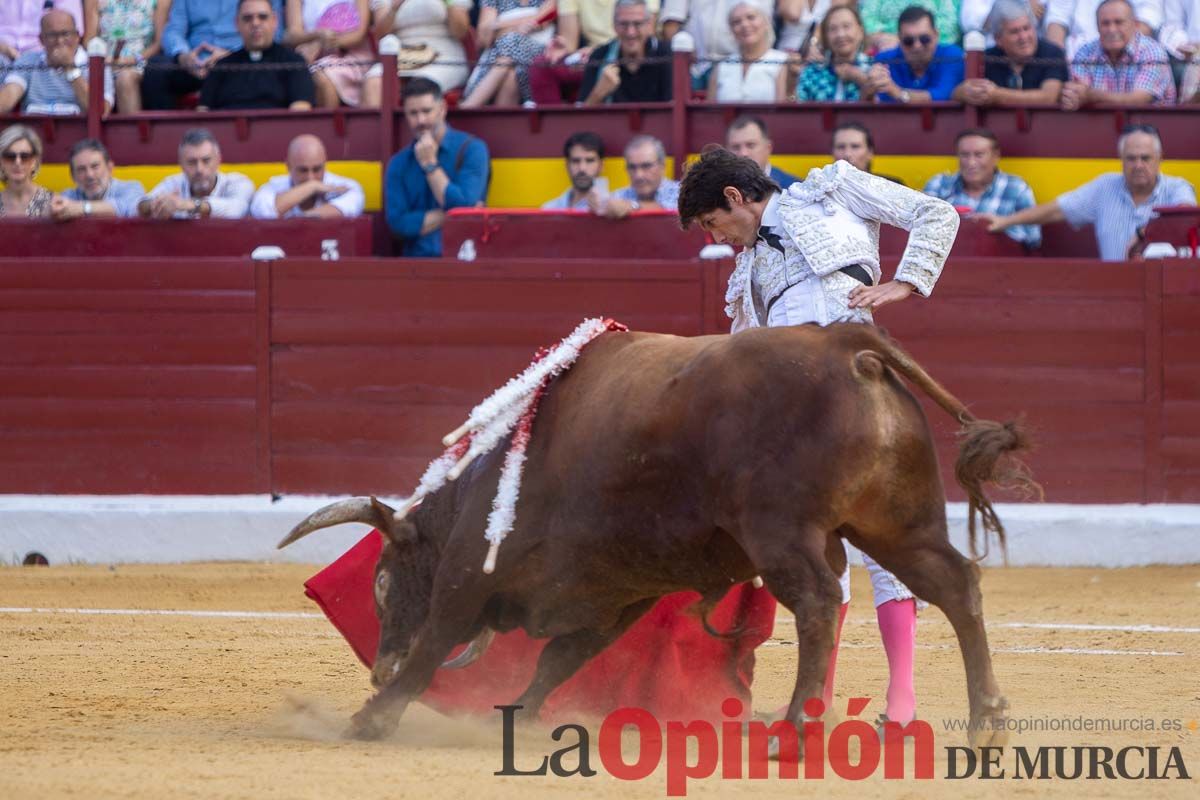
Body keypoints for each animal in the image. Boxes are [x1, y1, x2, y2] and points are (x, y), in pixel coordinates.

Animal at [278, 321, 1032, 748]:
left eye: (382, 582)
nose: (378, 666)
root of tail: (848, 343)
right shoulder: (617, 597)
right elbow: (559, 660)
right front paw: (512, 717)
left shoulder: (467, 578)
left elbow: (436, 643)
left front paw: (373, 718)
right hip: (896, 522)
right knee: (953, 583)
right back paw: (987, 718)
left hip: (783, 531)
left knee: (819, 604)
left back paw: (793, 730)